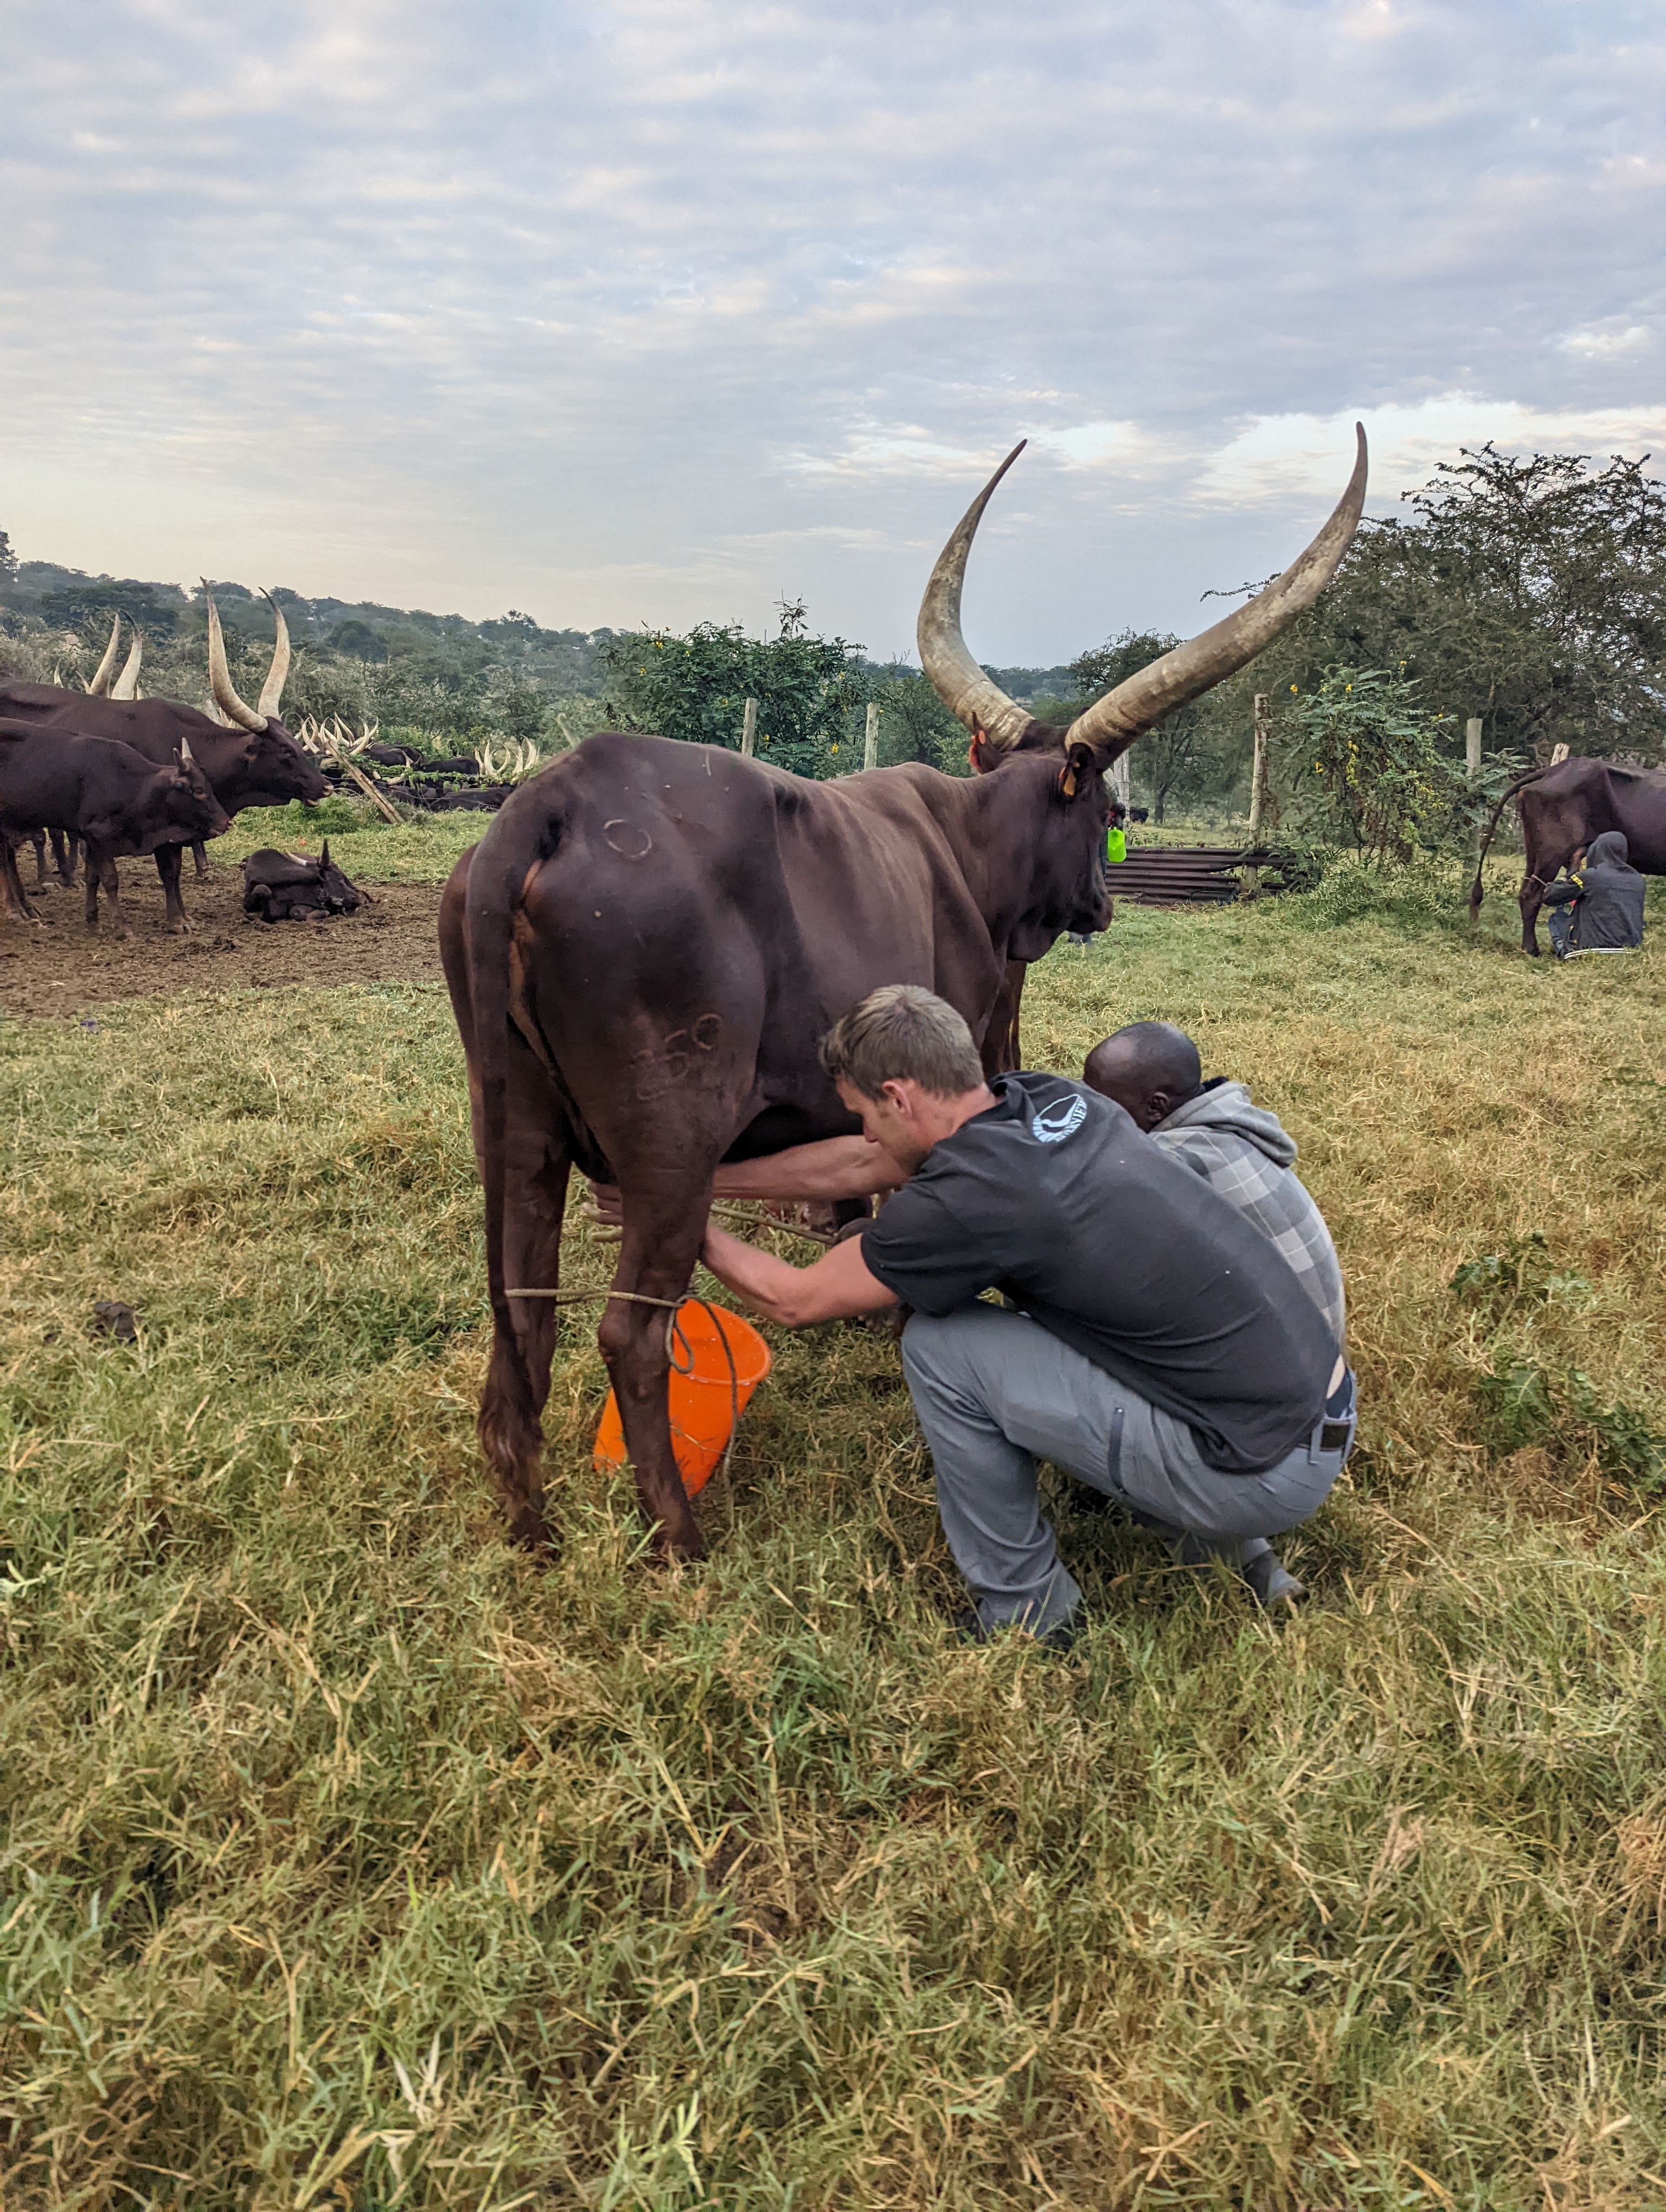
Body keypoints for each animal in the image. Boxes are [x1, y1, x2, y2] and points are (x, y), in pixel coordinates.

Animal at [0, 725, 231, 933]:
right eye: (198, 790)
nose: (226, 823)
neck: (132, 786)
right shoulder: (99, 835)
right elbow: (110, 879)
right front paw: (122, 927)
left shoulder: (92, 839)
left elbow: (93, 878)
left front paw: (93, 922)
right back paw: (16, 911)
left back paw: (26, 908)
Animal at [442, 422, 1363, 1548]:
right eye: (1106, 806)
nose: (1103, 902)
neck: (965, 846)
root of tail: (552, 805)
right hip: (670, 1145)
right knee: (628, 1334)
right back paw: (678, 1544)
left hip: (515, 1131)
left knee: (522, 1323)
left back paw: (531, 1535)